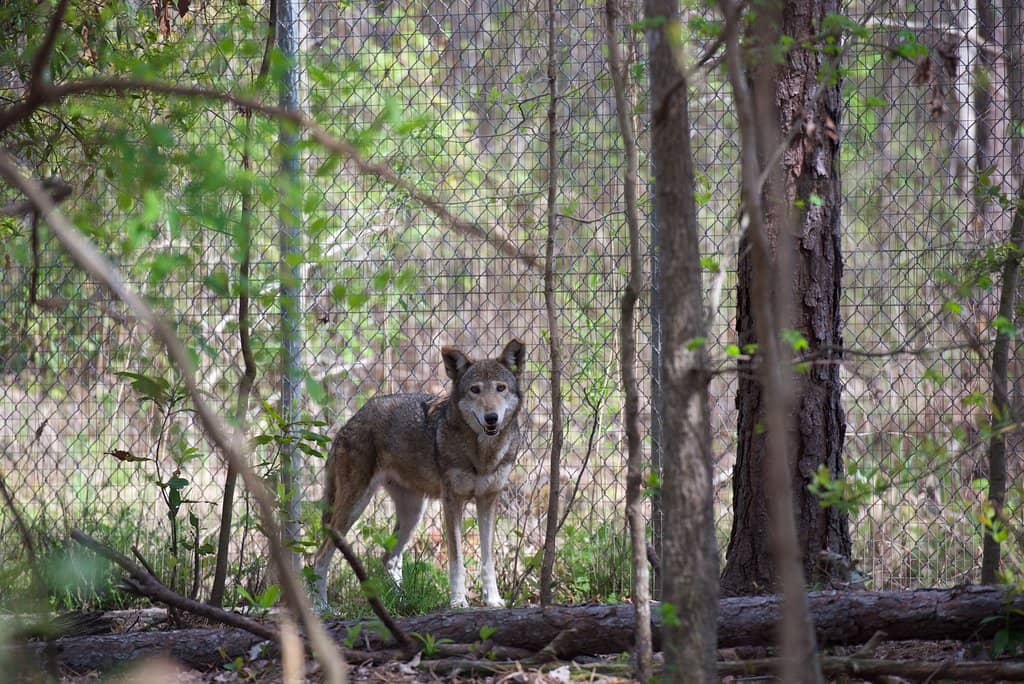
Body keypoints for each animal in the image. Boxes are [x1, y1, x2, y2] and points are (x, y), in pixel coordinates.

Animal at [312, 339, 525, 608]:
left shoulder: (488, 499)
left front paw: (494, 600)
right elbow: (456, 561)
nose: (491, 418)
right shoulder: (452, 501)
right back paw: (322, 607)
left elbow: (488, 560)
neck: (482, 454)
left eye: (500, 388)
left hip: (413, 513)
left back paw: (403, 603)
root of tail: (347, 423)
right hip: (354, 508)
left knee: (389, 558)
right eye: (475, 390)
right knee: (320, 556)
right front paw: (458, 602)